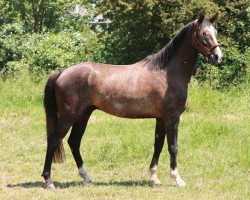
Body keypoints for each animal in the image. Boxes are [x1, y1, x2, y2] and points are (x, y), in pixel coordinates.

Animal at [41, 14, 223, 189]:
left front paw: (154, 177)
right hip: (68, 116)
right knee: (54, 140)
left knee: (74, 142)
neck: (167, 73)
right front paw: (177, 179)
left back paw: (87, 179)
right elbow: (173, 147)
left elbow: (158, 145)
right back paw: (49, 181)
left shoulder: (161, 118)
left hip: (83, 115)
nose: (217, 57)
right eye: (204, 34)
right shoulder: (172, 118)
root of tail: (61, 73)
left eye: (215, 32)